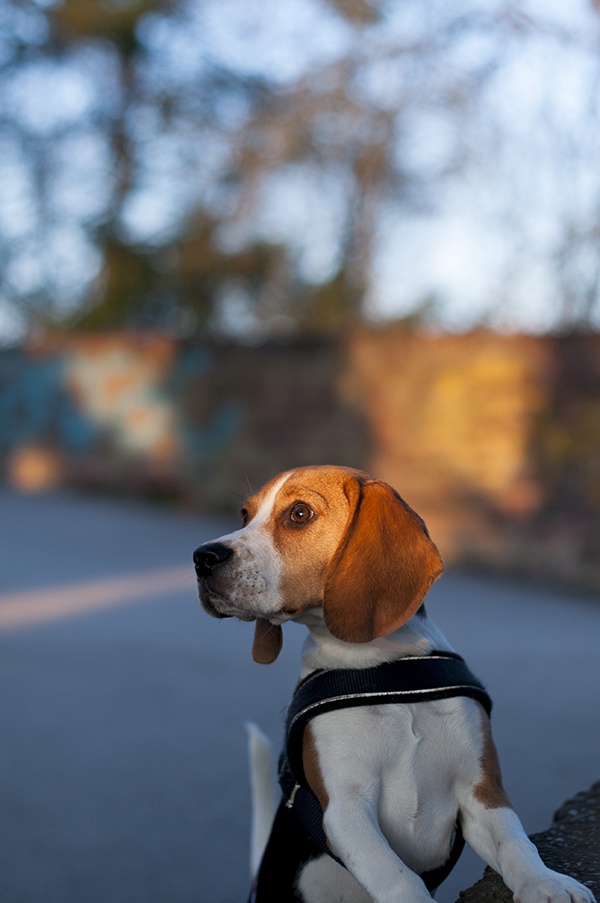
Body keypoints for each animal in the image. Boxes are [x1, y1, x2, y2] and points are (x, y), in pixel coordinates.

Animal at [193, 466, 596, 903]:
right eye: (244, 515)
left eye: (299, 513)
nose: (202, 557)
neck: (382, 669)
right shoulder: (346, 808)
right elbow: (400, 878)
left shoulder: (483, 790)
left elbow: (516, 842)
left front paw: (545, 883)